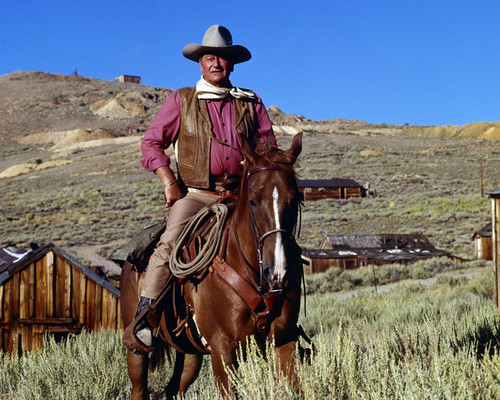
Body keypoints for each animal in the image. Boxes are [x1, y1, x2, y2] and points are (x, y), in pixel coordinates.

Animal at [120, 133, 304, 398]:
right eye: (253, 201)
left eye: (296, 198)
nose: (277, 270)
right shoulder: (222, 347)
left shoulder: (284, 339)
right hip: (136, 352)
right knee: (139, 386)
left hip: (190, 353)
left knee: (175, 388)